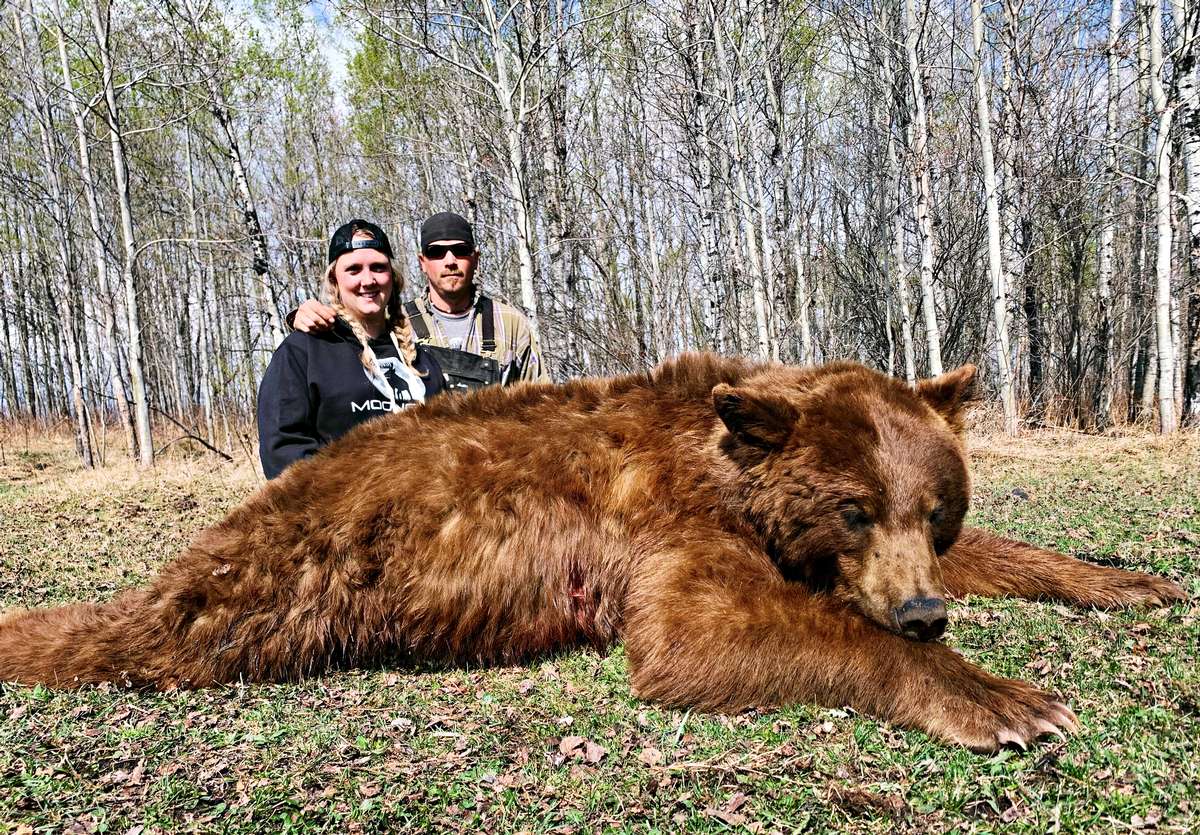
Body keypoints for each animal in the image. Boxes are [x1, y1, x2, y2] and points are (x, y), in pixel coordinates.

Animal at [0, 352, 1180, 748]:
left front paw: (1132, 578)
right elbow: (695, 633)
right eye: (853, 507)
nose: (922, 612)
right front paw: (1008, 701)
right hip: (288, 575)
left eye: (934, 509)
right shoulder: (672, 525)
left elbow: (1016, 552)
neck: (730, 464)